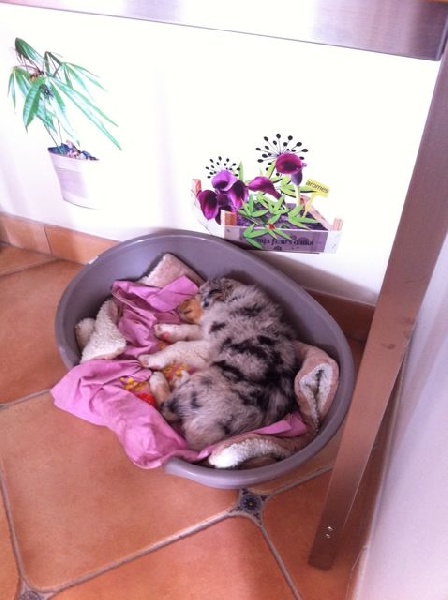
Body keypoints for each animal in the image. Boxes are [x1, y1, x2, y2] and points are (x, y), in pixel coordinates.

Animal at [139, 277, 300, 451]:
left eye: (199, 292)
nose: (178, 304)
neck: (232, 300)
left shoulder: (208, 347)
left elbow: (180, 346)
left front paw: (152, 359)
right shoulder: (205, 333)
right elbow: (189, 329)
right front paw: (165, 330)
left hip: (203, 383)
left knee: (167, 411)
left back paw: (160, 379)